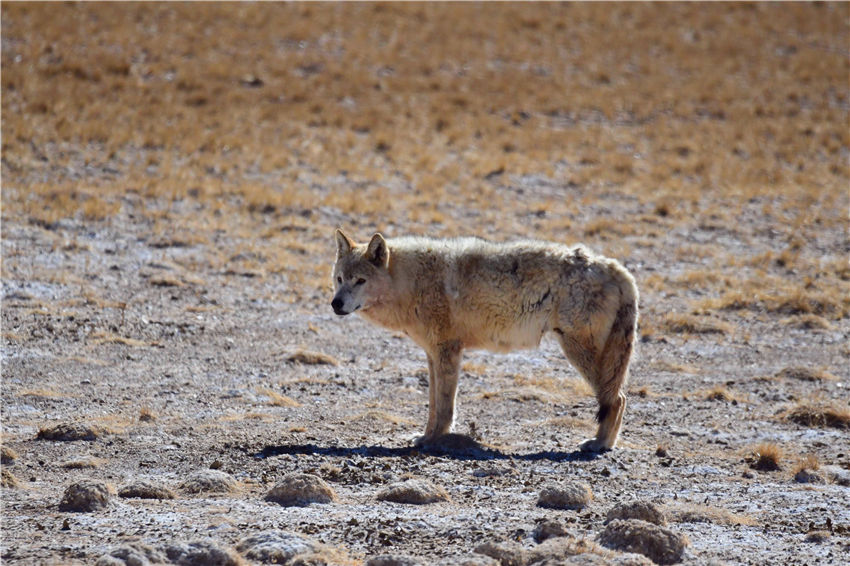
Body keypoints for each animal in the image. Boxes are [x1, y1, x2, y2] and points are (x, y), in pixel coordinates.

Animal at [332, 229, 636, 454]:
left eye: (360, 281)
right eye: (339, 279)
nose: (335, 304)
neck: (411, 283)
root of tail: (620, 270)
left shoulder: (448, 351)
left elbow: (444, 407)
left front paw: (435, 440)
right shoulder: (433, 354)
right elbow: (433, 404)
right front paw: (425, 437)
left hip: (578, 352)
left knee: (617, 399)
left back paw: (599, 444)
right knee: (619, 398)